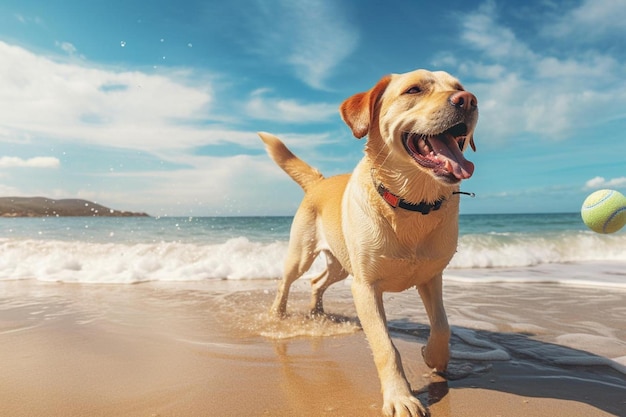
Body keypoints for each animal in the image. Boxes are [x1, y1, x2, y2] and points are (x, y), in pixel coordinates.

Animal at [258, 69, 478, 416]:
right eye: (414, 90)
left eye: (459, 87)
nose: (468, 100)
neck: (411, 204)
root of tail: (319, 182)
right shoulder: (365, 287)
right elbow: (386, 346)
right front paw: (401, 398)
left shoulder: (431, 276)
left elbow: (443, 326)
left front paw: (434, 359)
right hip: (304, 255)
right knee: (287, 281)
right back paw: (278, 316)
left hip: (341, 265)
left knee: (317, 282)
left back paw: (317, 312)